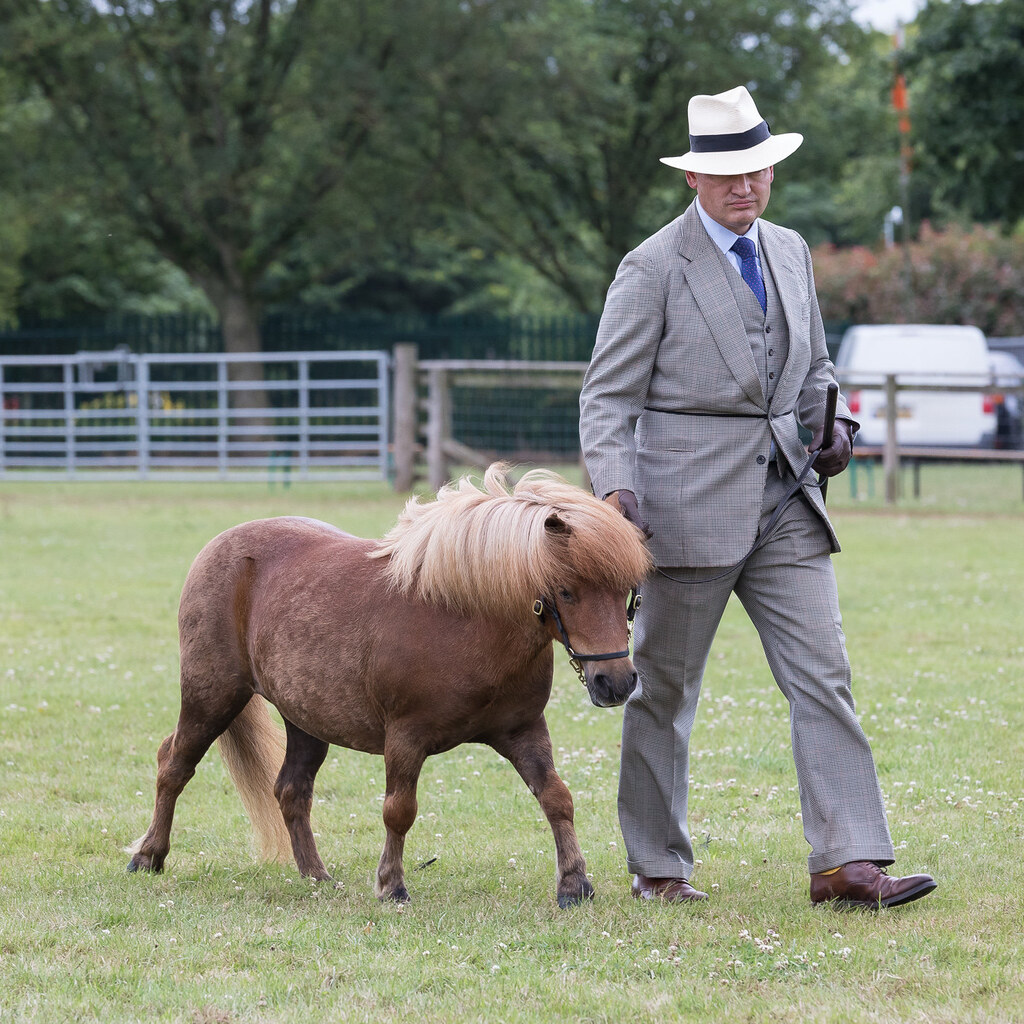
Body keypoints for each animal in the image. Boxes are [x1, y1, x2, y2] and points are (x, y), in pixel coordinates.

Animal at [127, 463, 652, 907]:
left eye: (628, 592)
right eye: (566, 591)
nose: (616, 682)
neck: (465, 617)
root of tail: (220, 546)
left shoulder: (523, 732)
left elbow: (556, 798)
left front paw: (574, 884)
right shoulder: (405, 738)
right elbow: (399, 810)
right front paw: (391, 885)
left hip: (304, 719)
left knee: (291, 791)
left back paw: (316, 876)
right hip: (212, 696)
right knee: (173, 765)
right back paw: (148, 855)